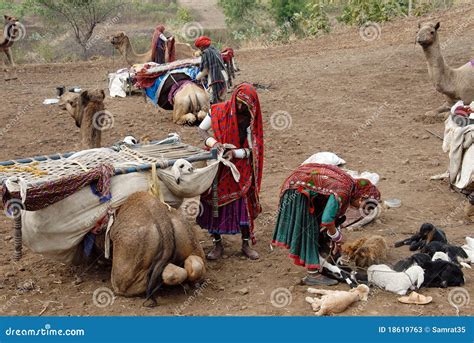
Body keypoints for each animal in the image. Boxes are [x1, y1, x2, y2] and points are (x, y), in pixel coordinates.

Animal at [57, 89, 206, 306]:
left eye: (72, 101)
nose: (59, 101)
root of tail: (163, 225)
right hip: (189, 240)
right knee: (194, 266)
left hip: (125, 270)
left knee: (151, 279)